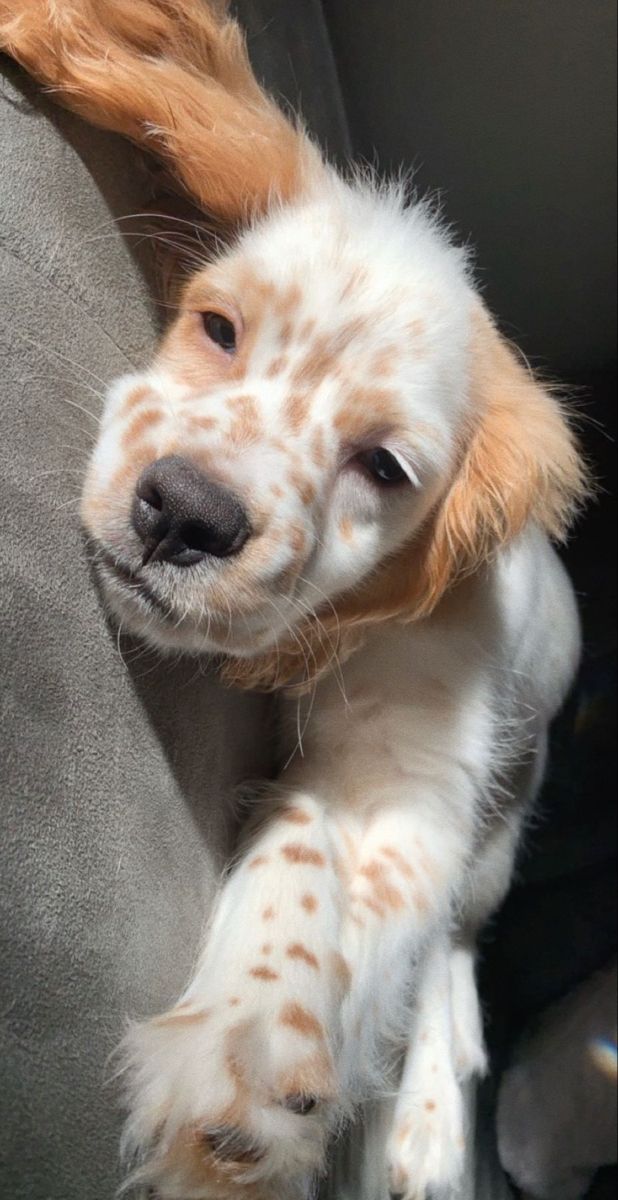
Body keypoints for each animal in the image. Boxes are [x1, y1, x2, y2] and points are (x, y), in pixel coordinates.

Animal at [0, 2, 590, 1200]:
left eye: (385, 468)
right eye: (218, 328)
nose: (184, 515)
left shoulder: (417, 768)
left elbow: (355, 853)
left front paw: (250, 1044)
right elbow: (308, 829)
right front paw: (253, 1034)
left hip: (509, 810)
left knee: (457, 945)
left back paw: (430, 1126)